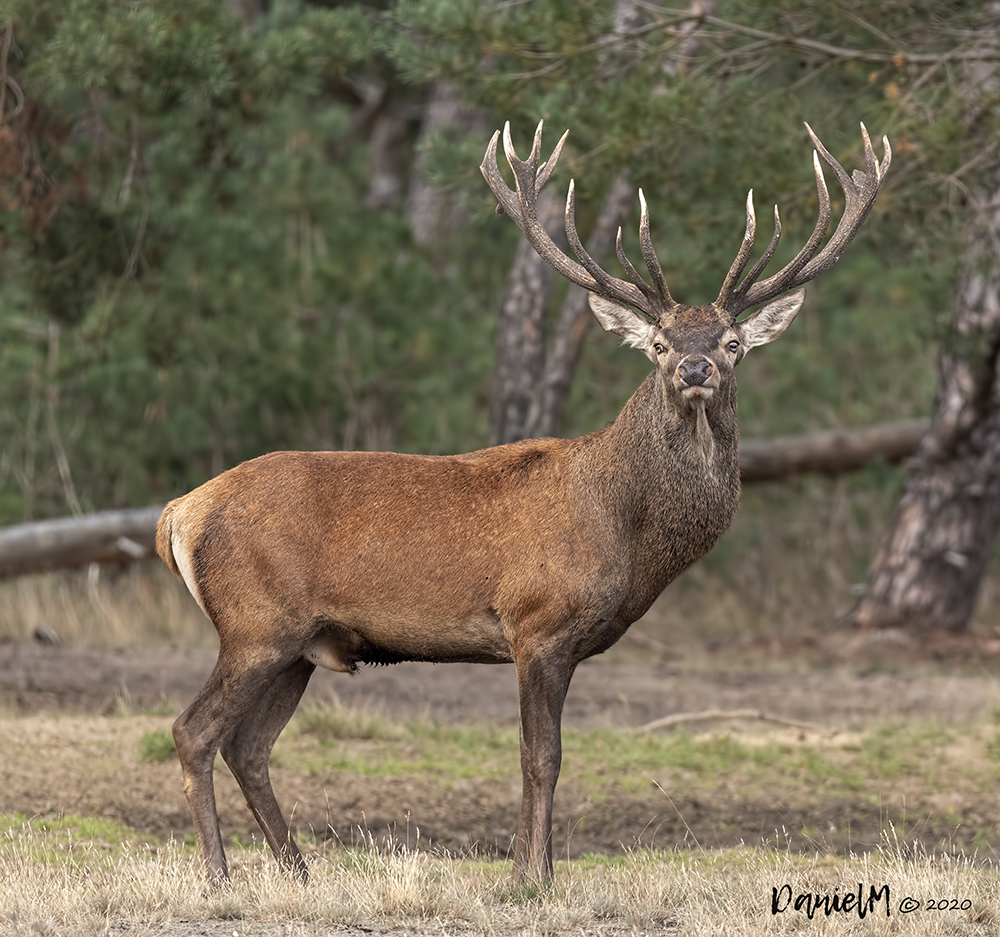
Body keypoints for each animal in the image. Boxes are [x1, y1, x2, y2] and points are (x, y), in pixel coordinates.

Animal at [156, 117, 892, 884]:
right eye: (660, 342)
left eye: (733, 341)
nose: (695, 368)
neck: (626, 532)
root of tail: (179, 513)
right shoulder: (538, 623)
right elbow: (541, 757)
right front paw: (528, 877)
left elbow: (550, 756)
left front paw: (536, 869)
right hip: (255, 624)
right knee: (192, 730)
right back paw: (218, 872)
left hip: (299, 644)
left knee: (248, 745)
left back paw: (298, 871)